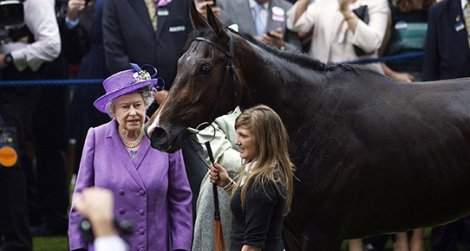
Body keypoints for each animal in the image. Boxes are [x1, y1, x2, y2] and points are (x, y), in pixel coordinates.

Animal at [147, 4, 470, 251]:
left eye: (204, 68)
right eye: (180, 62)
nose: (157, 131)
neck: (312, 119)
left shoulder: (322, 235)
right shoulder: (291, 232)